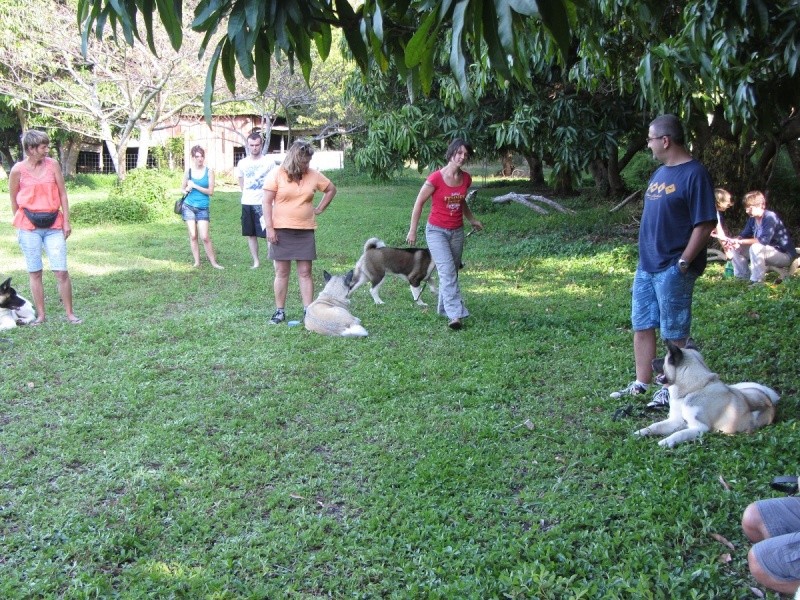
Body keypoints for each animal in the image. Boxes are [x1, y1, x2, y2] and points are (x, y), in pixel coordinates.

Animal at [636, 342, 780, 446]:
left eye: (665, 359)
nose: (652, 361)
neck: (693, 388)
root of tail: (769, 398)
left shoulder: (700, 427)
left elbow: (681, 433)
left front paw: (667, 441)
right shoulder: (675, 421)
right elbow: (656, 425)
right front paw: (642, 432)